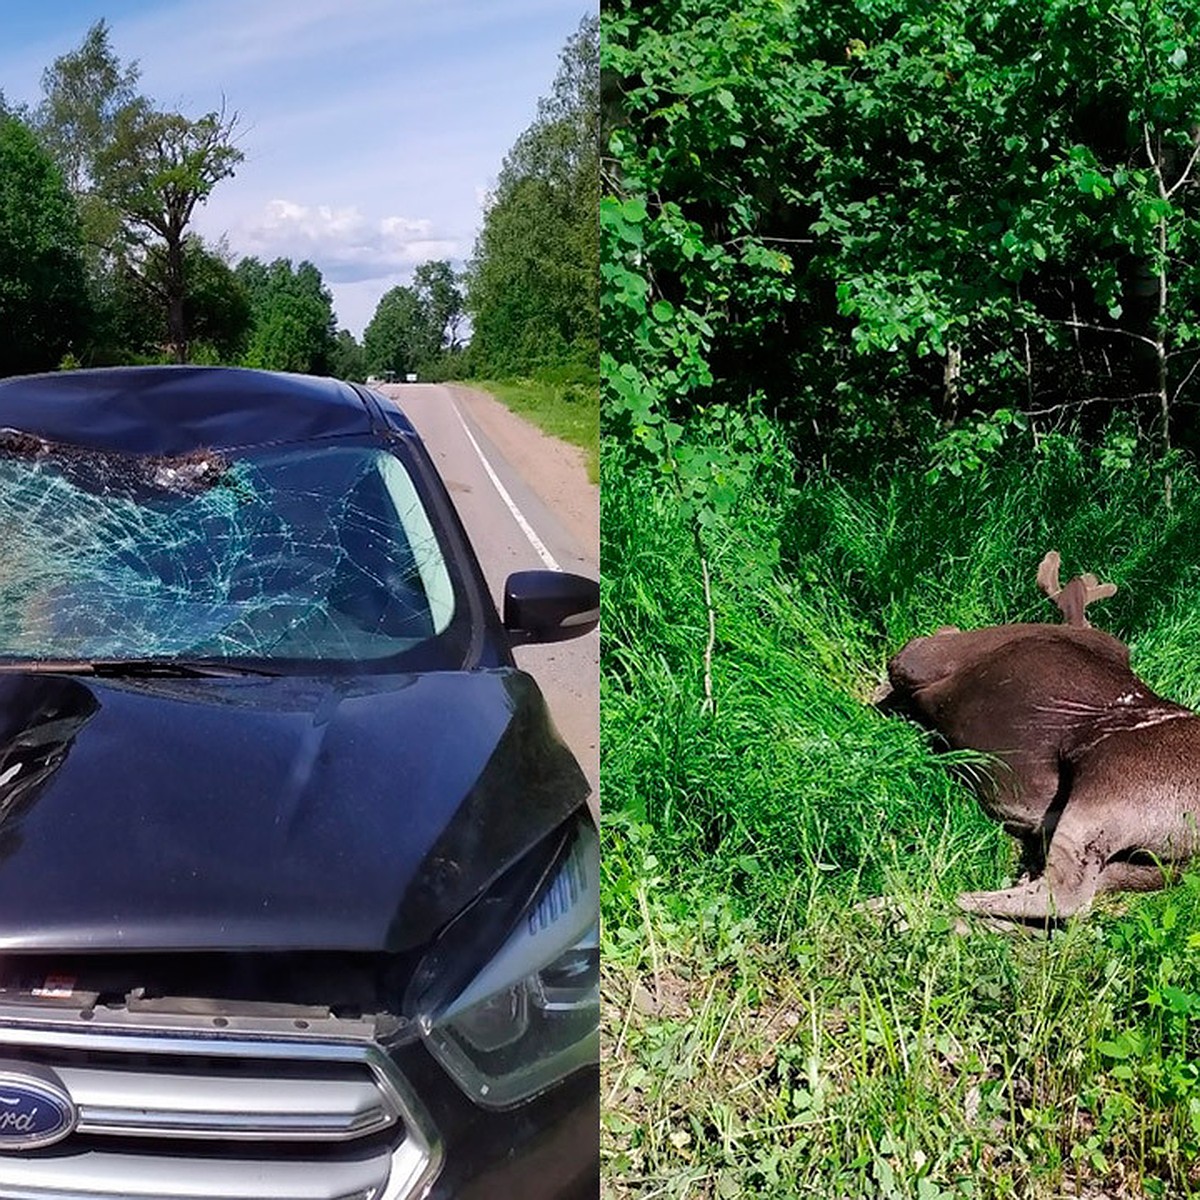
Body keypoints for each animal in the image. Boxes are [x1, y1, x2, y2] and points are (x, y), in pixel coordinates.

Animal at [883, 552, 1200, 916]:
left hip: (1110, 788)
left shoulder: (922, 657)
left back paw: (958, 899)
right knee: (1102, 882)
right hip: (1159, 863)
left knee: (1067, 894)